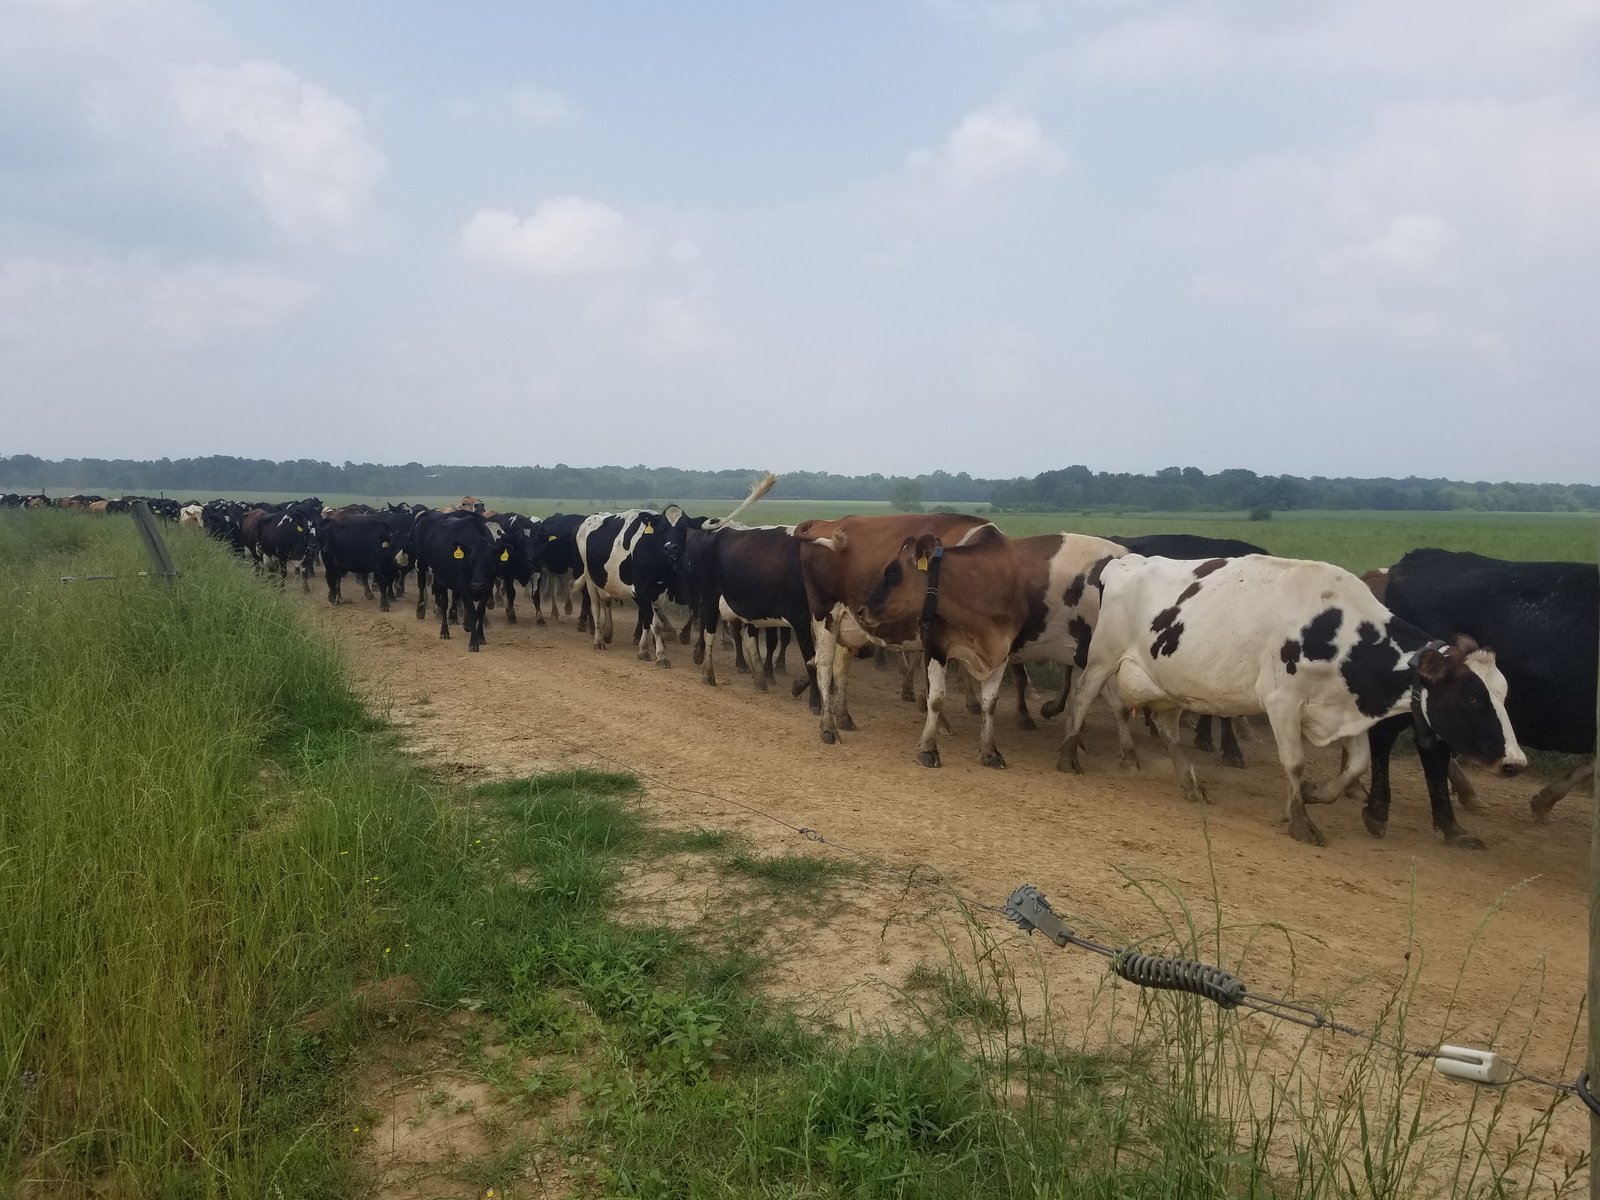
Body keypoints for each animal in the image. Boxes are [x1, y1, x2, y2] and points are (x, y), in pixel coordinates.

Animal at [577, 507, 692, 665]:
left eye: (684, 527)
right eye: (662, 527)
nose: (671, 548)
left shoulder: (658, 592)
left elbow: (648, 619)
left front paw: (644, 650)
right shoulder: (641, 589)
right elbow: (655, 623)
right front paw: (661, 655)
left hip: (604, 580)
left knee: (606, 601)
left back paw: (608, 633)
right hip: (590, 579)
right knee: (595, 608)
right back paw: (599, 640)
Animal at [794, 513, 1002, 744]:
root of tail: (825, 523)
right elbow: (934, 686)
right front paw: (939, 724)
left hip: (847, 623)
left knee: (840, 666)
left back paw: (843, 717)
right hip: (825, 616)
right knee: (824, 665)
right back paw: (828, 727)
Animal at [855, 531, 1127, 769]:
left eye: (892, 574)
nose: (862, 610)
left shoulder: (1000, 651)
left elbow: (990, 702)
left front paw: (990, 751)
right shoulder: (936, 646)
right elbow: (937, 697)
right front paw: (929, 748)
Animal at [1058, 553, 1526, 846]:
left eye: (1503, 693)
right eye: (1470, 697)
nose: (1515, 762)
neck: (1339, 628)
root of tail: (1127, 562)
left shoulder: (1345, 708)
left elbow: (1356, 764)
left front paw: (1317, 794)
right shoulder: (1282, 701)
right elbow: (1295, 761)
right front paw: (1301, 818)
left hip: (1169, 680)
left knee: (1168, 727)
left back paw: (1190, 782)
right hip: (1103, 659)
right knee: (1082, 698)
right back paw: (1068, 755)